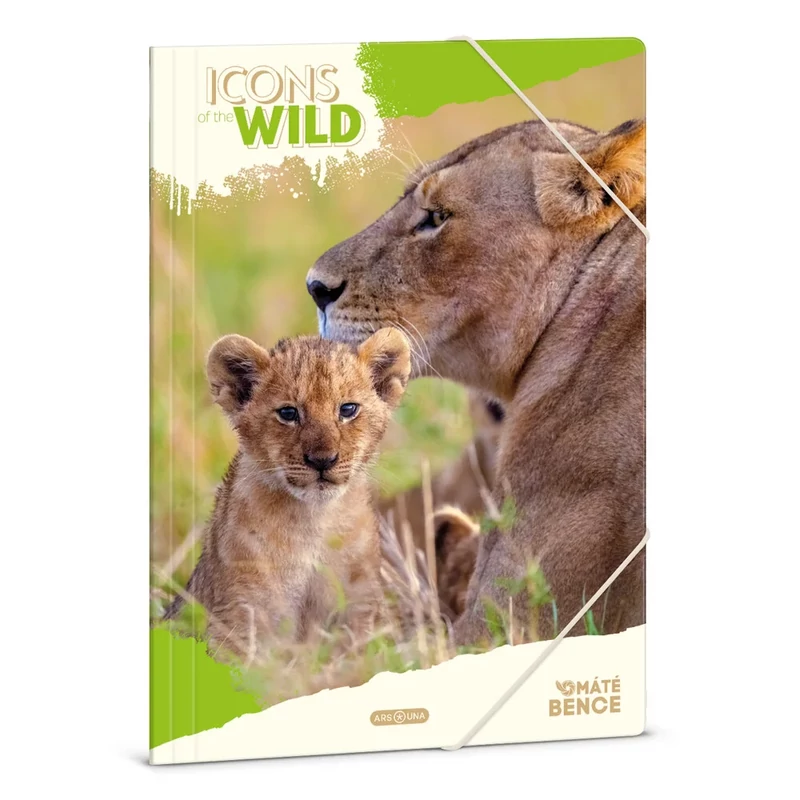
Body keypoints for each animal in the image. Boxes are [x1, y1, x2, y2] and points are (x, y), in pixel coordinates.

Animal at [163, 329, 411, 661]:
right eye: (288, 413)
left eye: (347, 409)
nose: (322, 460)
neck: (314, 522)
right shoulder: (239, 614)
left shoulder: (360, 608)